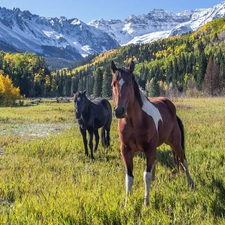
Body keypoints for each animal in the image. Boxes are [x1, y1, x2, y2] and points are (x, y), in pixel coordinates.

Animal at [110, 59, 194, 206]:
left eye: (129, 83)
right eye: (113, 83)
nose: (119, 111)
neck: (135, 122)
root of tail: (171, 108)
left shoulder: (149, 149)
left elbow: (146, 176)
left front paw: (146, 203)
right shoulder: (126, 150)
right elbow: (129, 177)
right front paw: (127, 203)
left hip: (175, 144)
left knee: (183, 160)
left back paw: (190, 183)